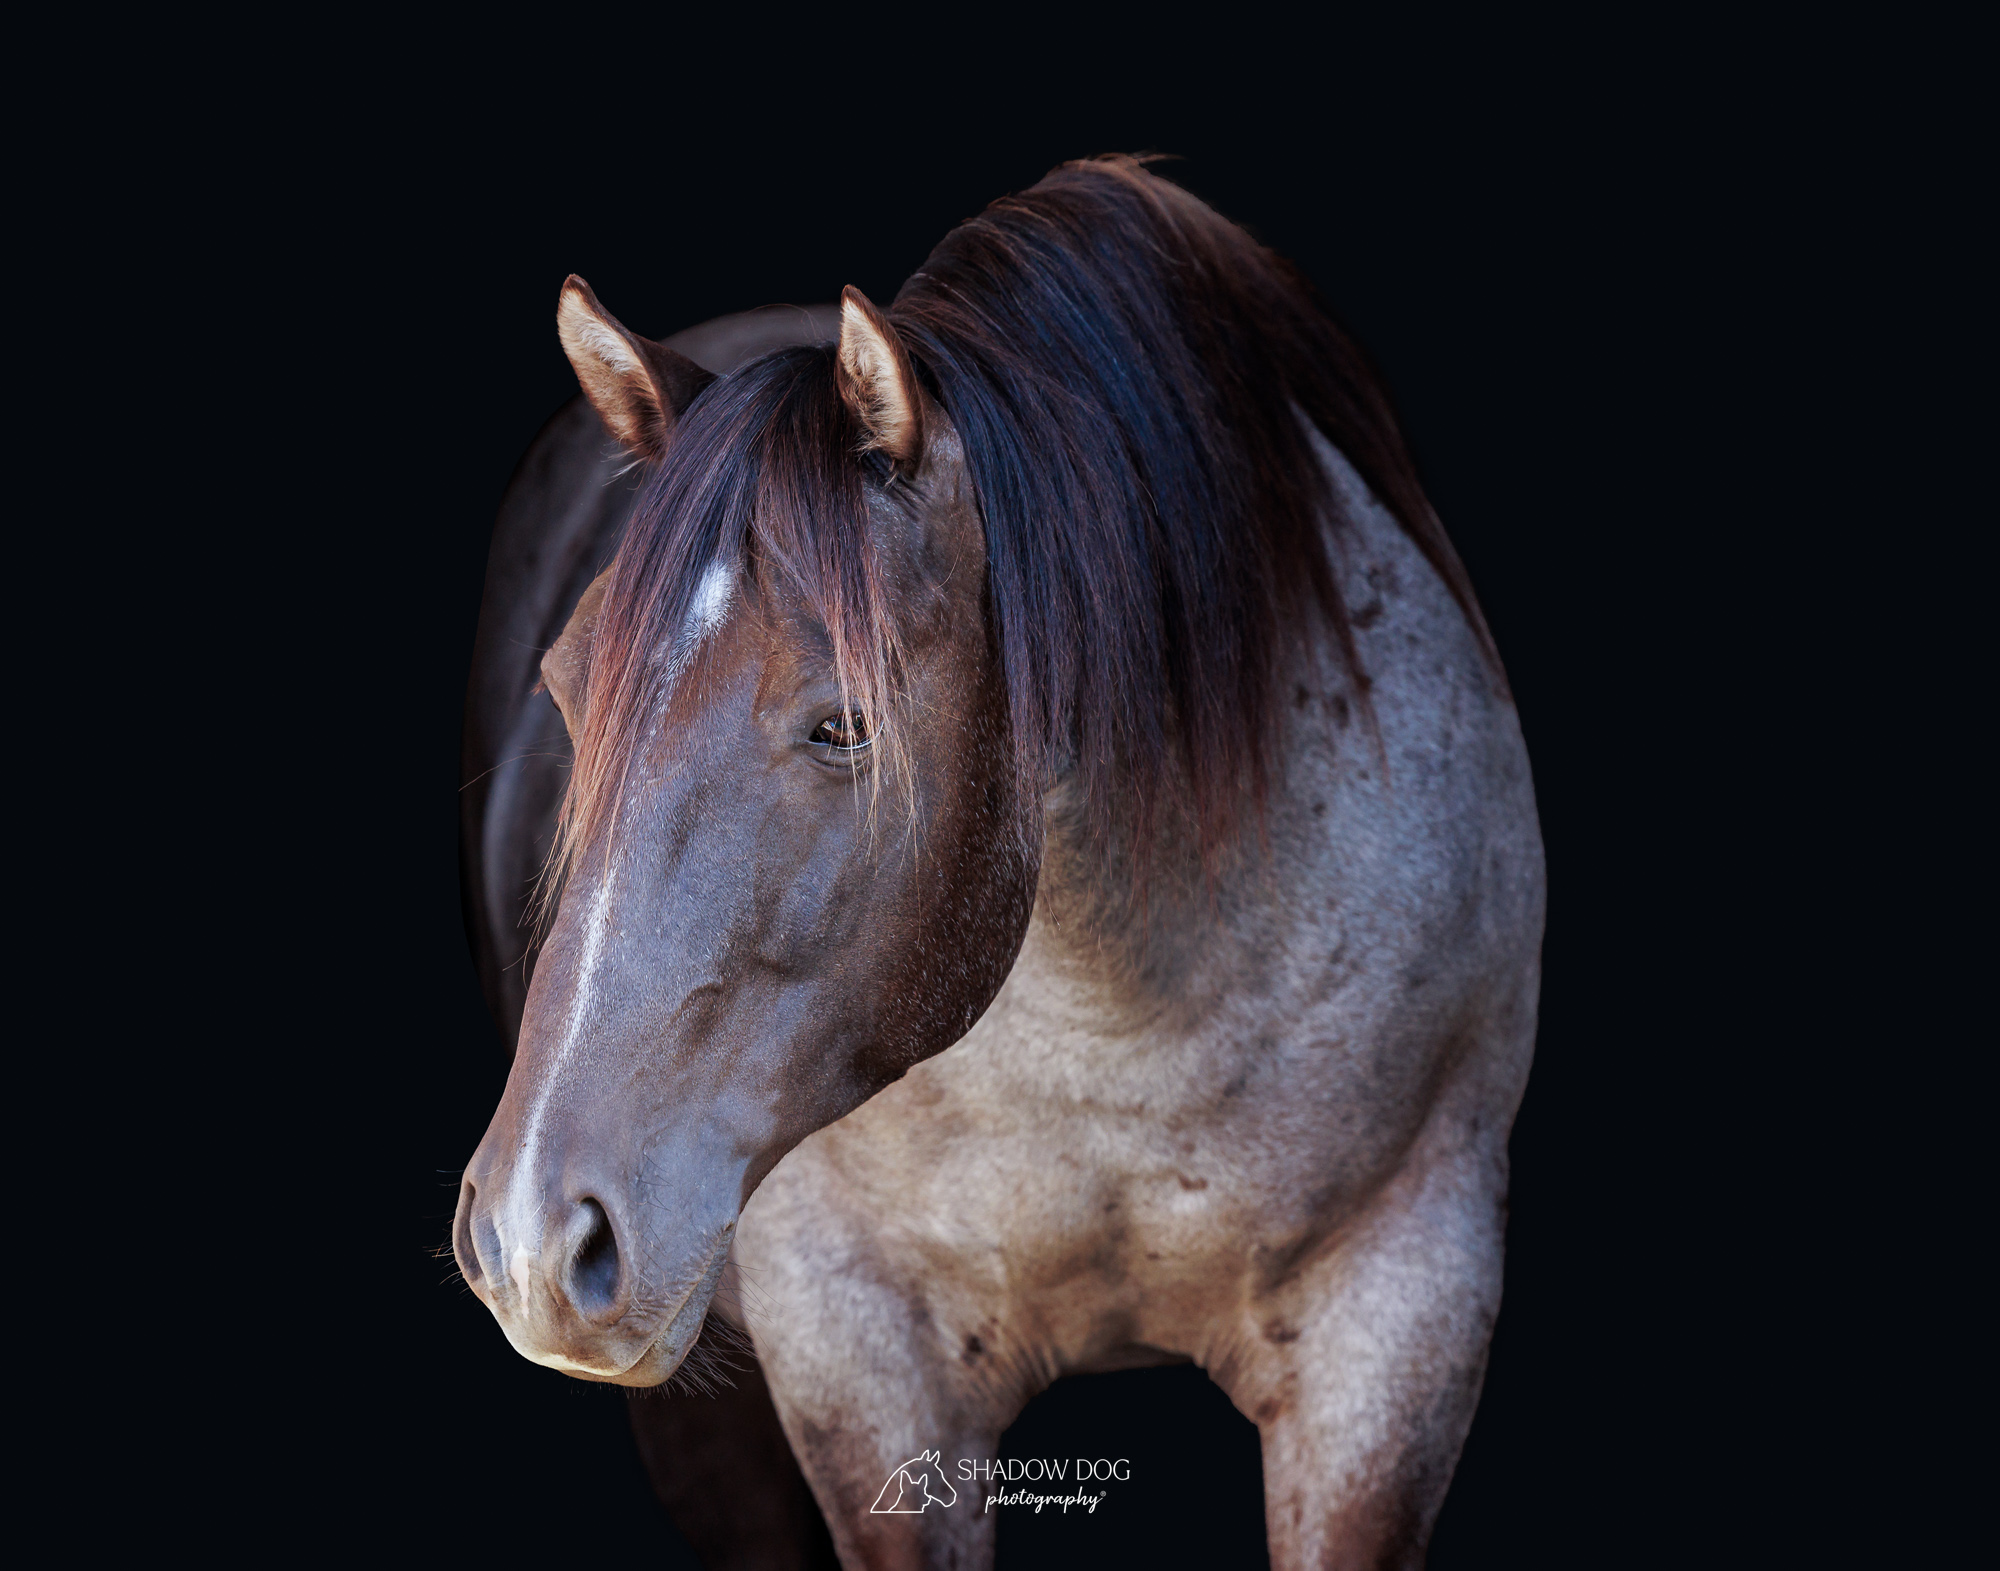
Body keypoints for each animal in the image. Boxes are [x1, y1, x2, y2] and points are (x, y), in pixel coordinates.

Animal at [453, 156, 1544, 1570]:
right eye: (567, 691)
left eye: (845, 725)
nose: (532, 1231)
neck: (1125, 1018)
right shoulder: (860, 1355)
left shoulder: (1400, 1321)